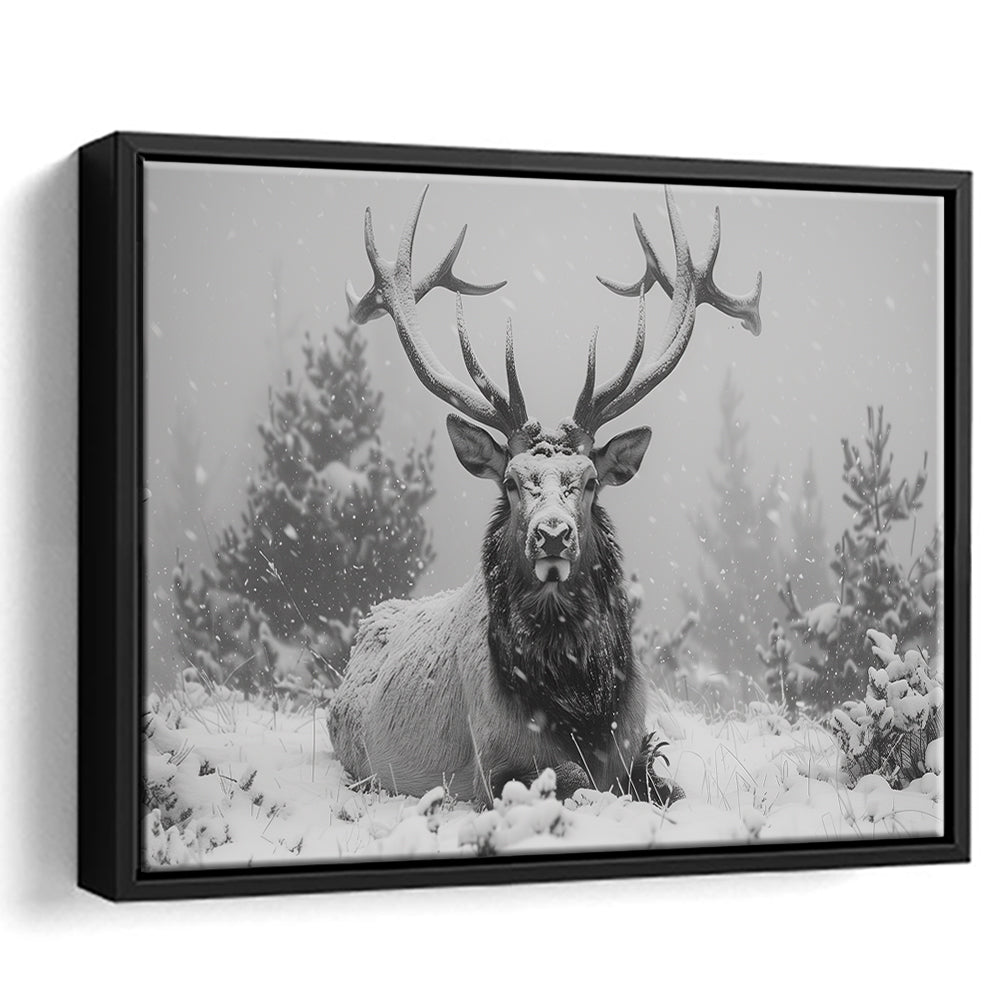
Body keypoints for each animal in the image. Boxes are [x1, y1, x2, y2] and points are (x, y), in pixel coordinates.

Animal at [327, 184, 762, 807]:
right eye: (512, 482)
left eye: (589, 480)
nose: (552, 534)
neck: (581, 705)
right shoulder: (494, 763)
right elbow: (572, 780)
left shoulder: (636, 745)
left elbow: (669, 787)